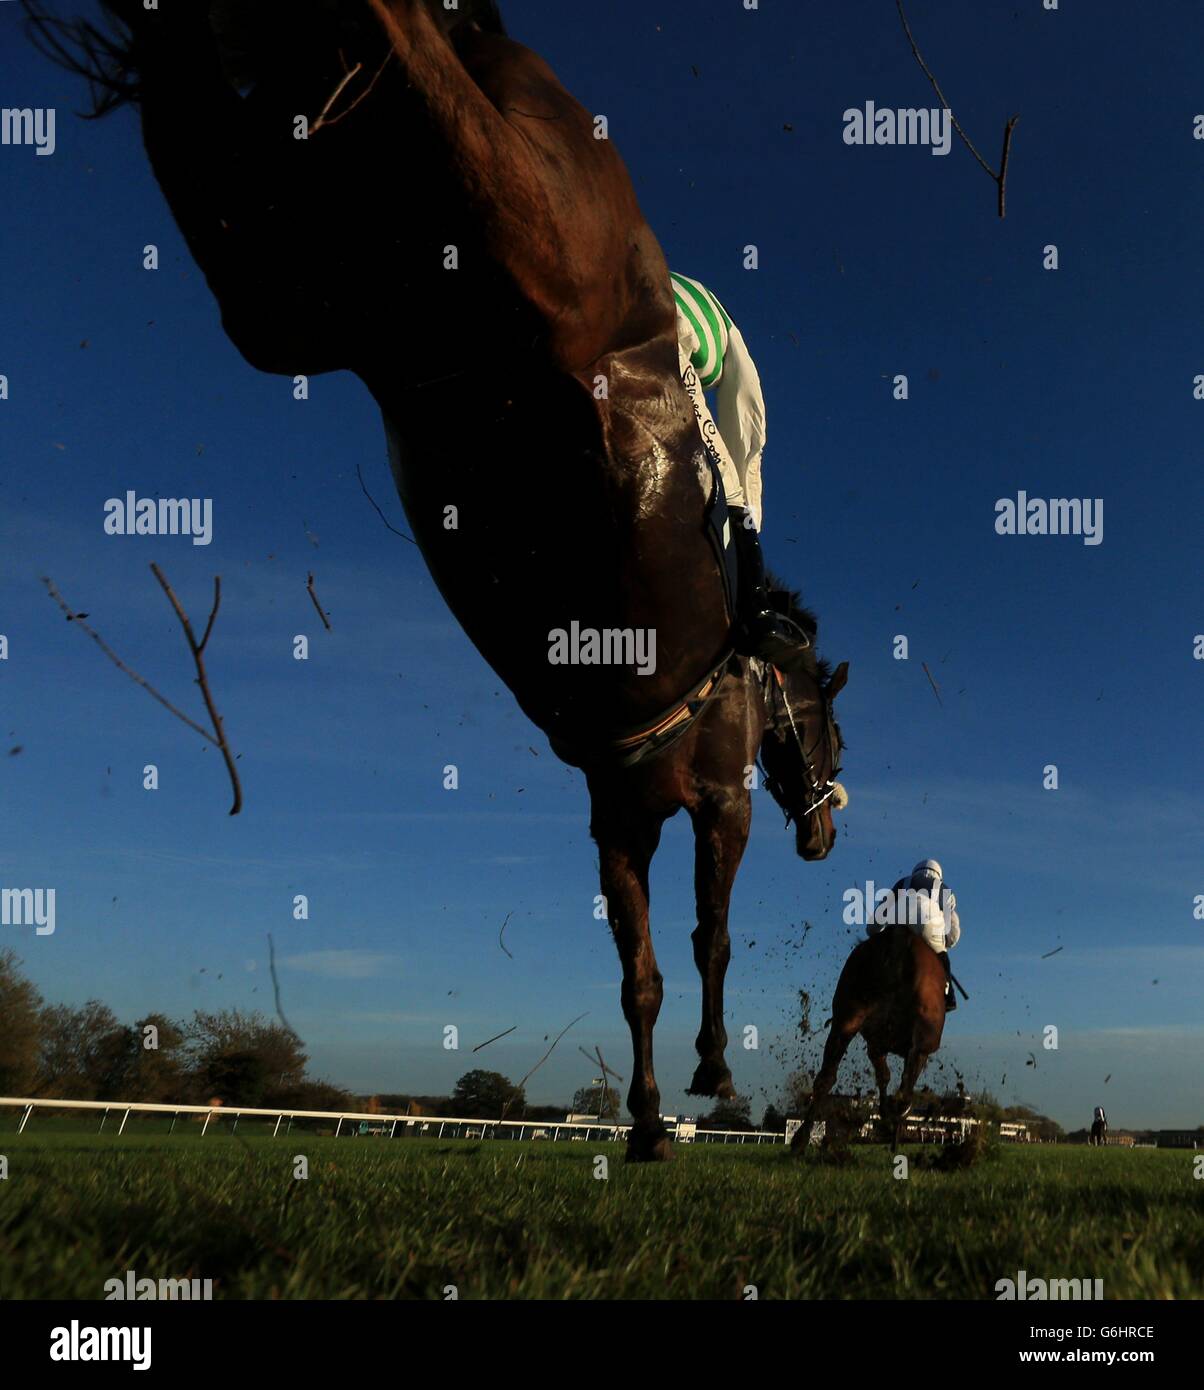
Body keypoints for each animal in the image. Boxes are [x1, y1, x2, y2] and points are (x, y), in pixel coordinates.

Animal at [30, 0, 856, 1162]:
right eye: (835, 734)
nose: (826, 831)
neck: (738, 672)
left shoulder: (623, 819)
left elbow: (640, 975)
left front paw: (651, 1122)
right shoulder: (716, 802)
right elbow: (705, 942)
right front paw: (710, 1074)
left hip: (305, 283)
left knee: (222, 177)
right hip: (534, 227)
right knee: (408, 50)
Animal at [789, 922, 945, 1150]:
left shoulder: (876, 1044)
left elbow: (884, 1076)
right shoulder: (915, 1048)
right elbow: (896, 1082)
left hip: (846, 1020)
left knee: (826, 1077)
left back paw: (801, 1140)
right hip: (920, 1040)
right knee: (904, 1090)